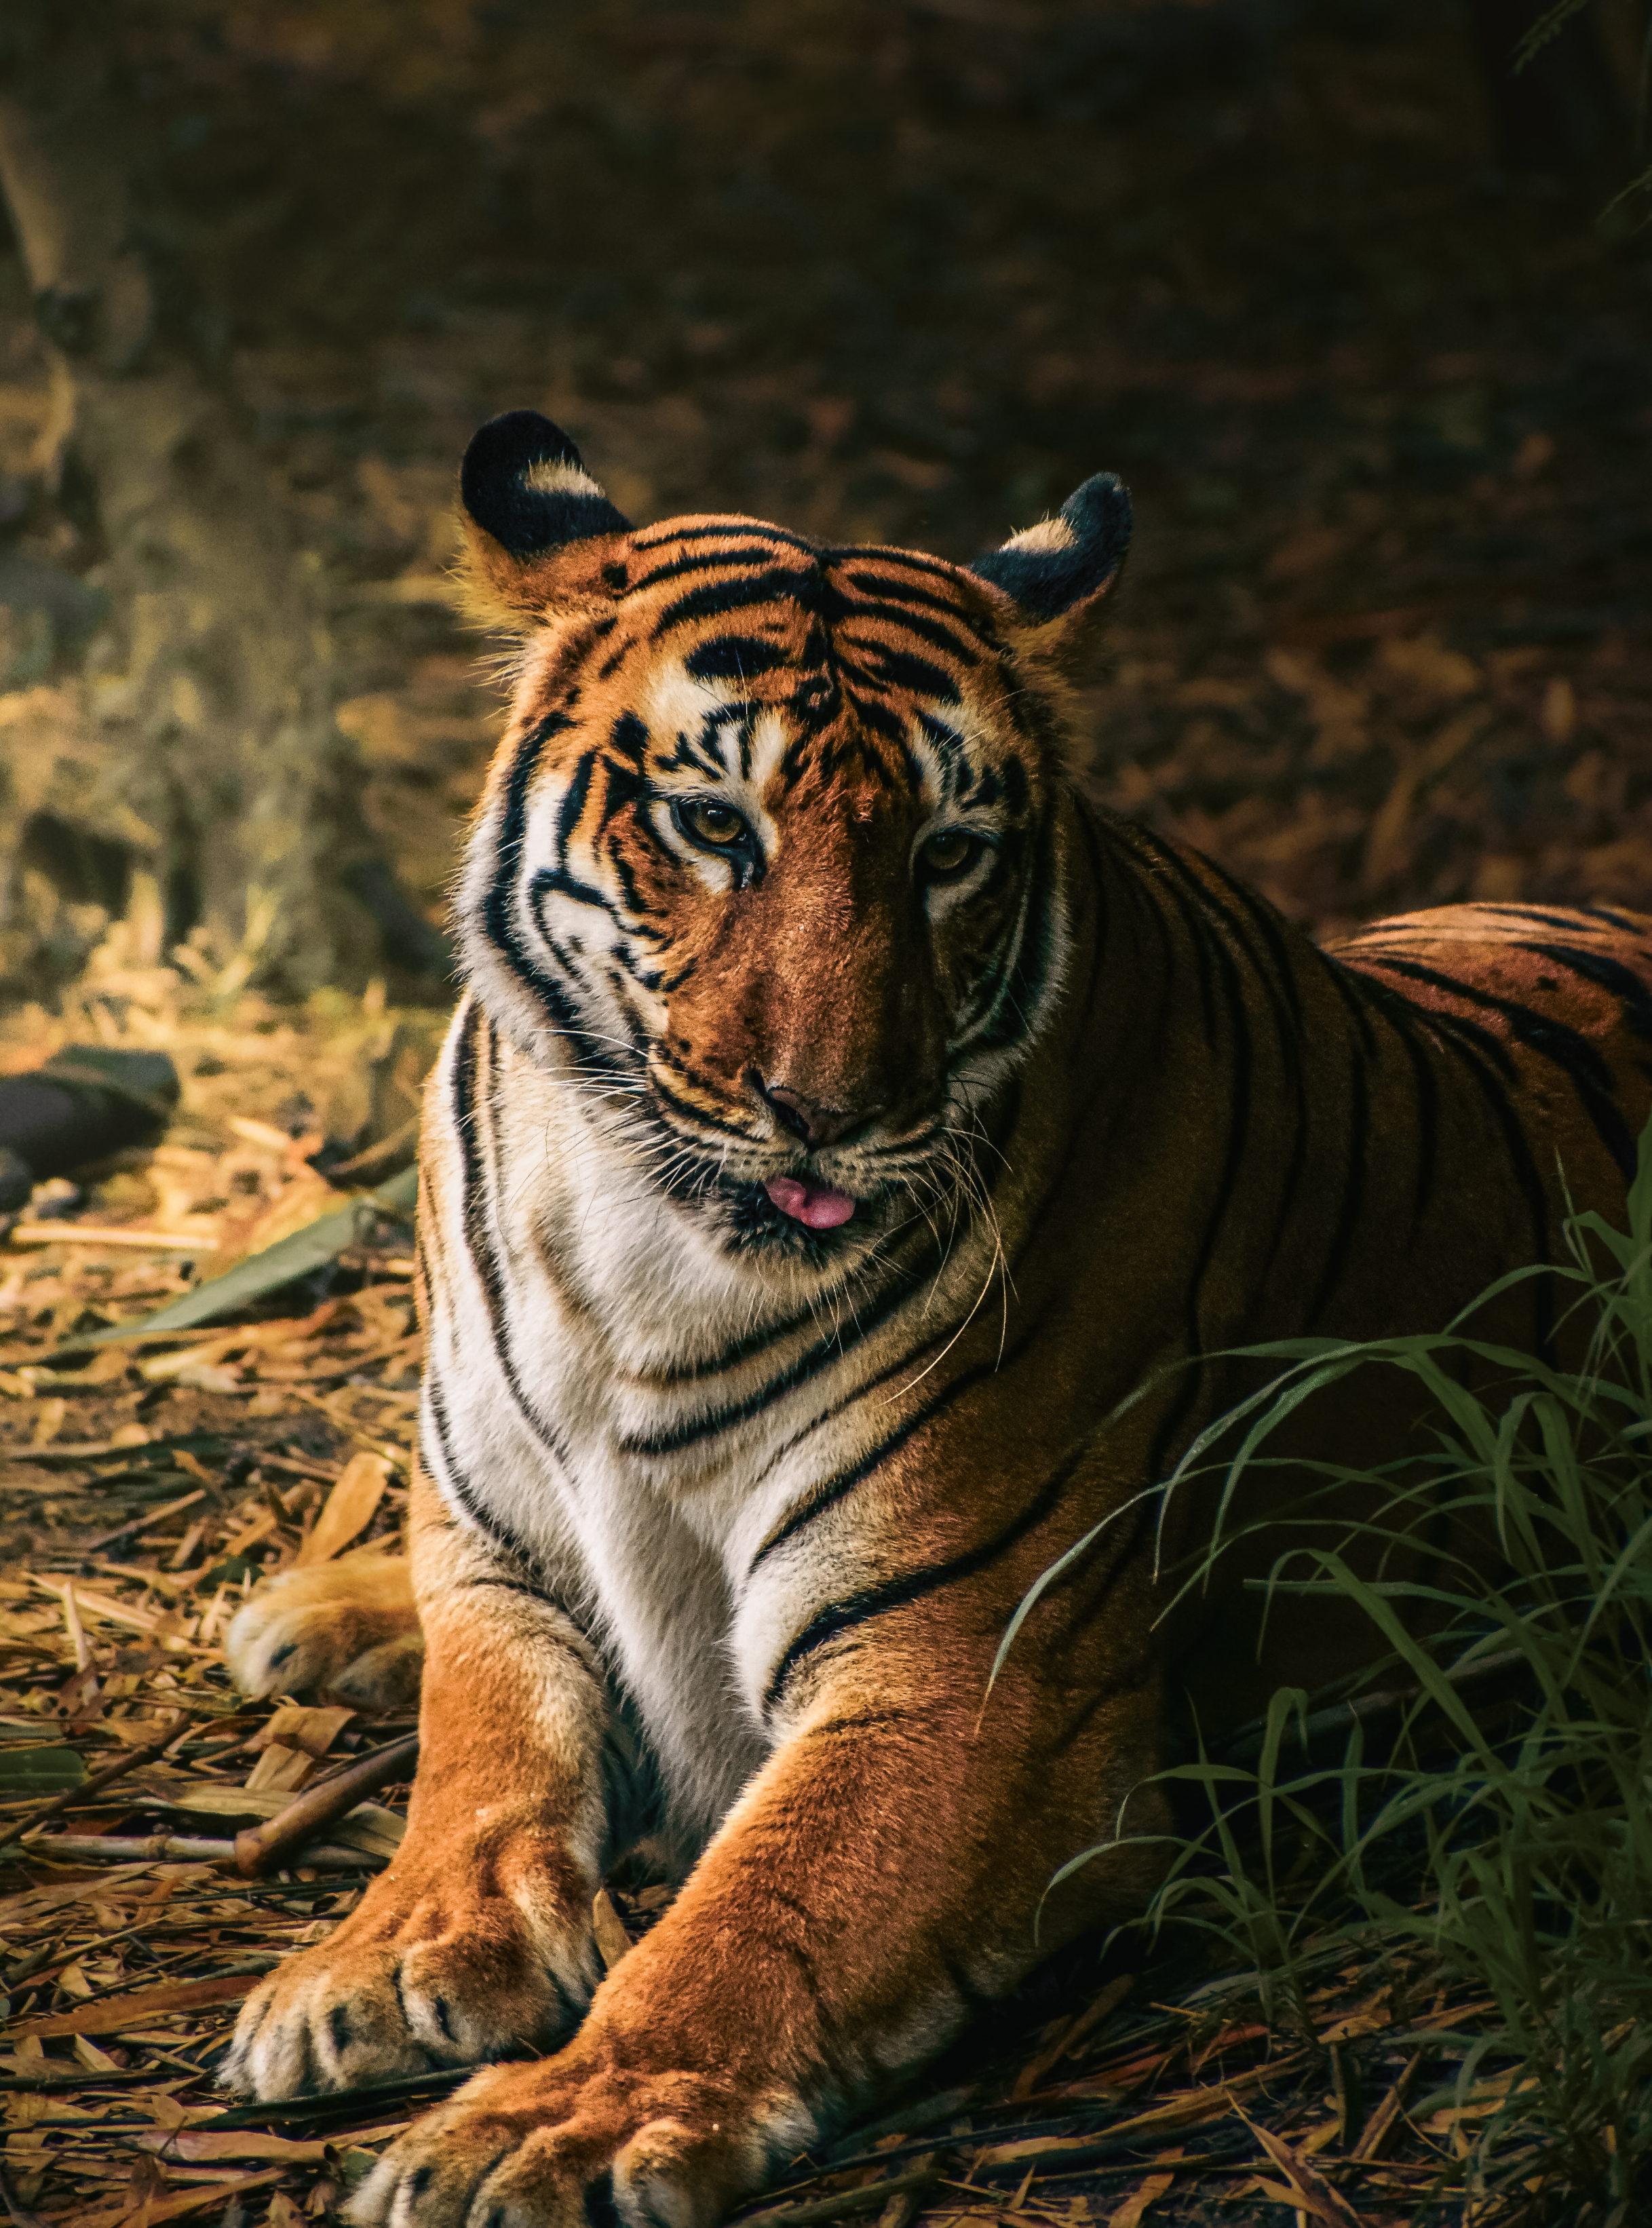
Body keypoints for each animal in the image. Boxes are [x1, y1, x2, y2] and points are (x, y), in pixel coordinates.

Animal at [222, 407, 1652, 2228]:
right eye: (713, 827)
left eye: (946, 855)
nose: (827, 1113)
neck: (638, 1250)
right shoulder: (497, 1543)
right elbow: (473, 1760)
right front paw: (388, 1953)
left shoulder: (959, 1667)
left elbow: (747, 1923)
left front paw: (552, 2127)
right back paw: (309, 1611)